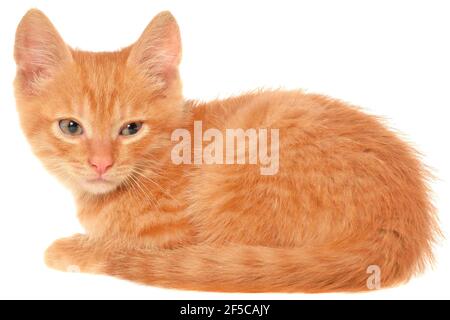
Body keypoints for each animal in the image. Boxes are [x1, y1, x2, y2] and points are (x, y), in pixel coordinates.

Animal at [13, 9, 440, 292]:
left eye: (131, 129)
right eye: (71, 127)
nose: (100, 163)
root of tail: (402, 220)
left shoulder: (174, 236)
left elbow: (139, 245)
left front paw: (81, 248)